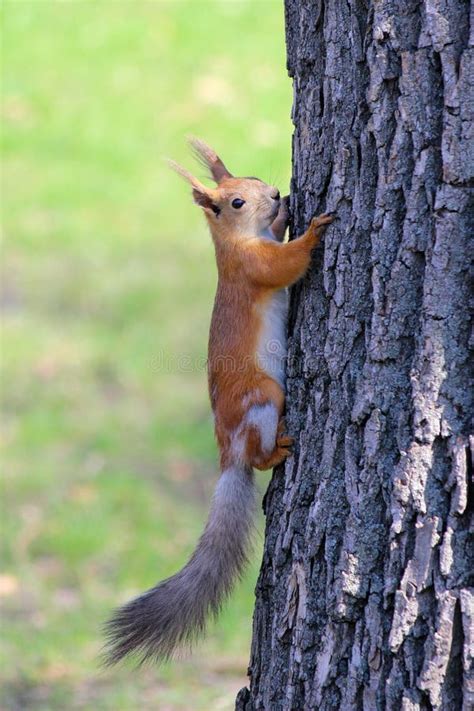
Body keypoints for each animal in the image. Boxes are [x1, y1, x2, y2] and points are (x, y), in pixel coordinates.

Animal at [103, 140, 334, 668]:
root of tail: (227, 454)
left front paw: (287, 212)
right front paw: (313, 230)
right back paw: (276, 450)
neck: (235, 243)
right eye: (235, 203)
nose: (276, 194)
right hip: (263, 398)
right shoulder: (252, 268)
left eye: (254, 179)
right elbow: (284, 265)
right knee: (260, 448)